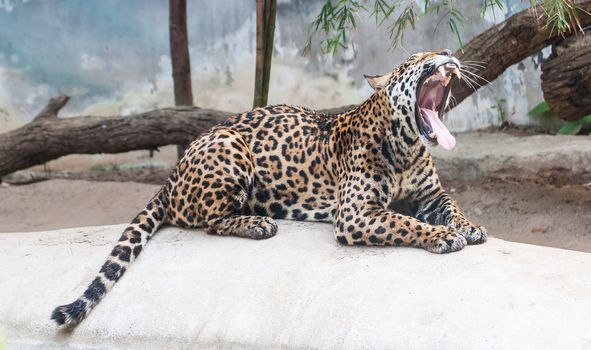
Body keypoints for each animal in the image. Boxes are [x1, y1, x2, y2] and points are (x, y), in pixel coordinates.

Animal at [51, 50, 488, 328]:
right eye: (417, 59)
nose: (448, 53)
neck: (407, 144)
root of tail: (172, 174)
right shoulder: (357, 214)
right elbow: (404, 223)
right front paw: (442, 236)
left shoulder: (429, 196)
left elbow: (451, 206)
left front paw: (469, 227)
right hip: (228, 145)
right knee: (208, 221)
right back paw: (257, 223)